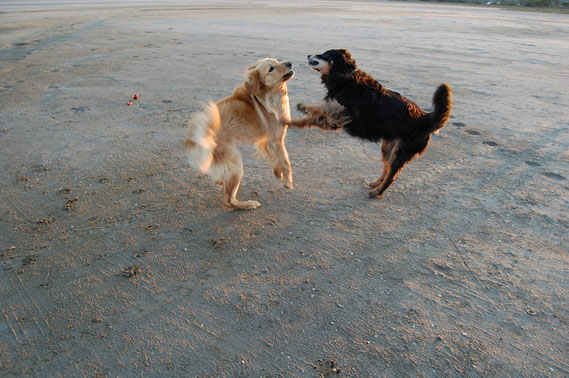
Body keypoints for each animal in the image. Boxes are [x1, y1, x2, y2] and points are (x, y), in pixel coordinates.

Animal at [185, 58, 292, 210]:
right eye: (271, 68)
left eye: (277, 60)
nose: (289, 63)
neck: (268, 95)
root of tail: (198, 137)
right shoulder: (277, 140)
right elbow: (285, 161)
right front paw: (288, 182)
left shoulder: (266, 141)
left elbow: (273, 158)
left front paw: (278, 172)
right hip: (236, 164)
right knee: (229, 200)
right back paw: (248, 204)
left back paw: (221, 181)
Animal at [292, 49, 452, 198]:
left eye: (326, 55)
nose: (308, 55)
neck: (346, 76)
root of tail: (426, 117)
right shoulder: (336, 112)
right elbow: (318, 112)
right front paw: (302, 111)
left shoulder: (342, 114)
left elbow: (318, 113)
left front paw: (298, 115)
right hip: (388, 146)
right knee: (386, 168)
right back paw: (376, 183)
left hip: (400, 151)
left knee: (391, 175)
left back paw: (377, 192)